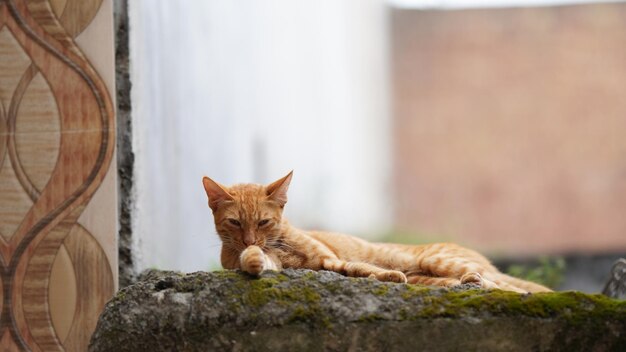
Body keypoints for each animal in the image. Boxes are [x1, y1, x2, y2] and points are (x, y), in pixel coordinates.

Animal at [202, 172, 548, 292]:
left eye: (263, 222)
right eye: (235, 223)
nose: (250, 240)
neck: (280, 243)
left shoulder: (327, 259)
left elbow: (356, 266)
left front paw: (387, 274)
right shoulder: (299, 264)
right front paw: (253, 259)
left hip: (439, 260)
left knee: (512, 287)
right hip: (433, 274)